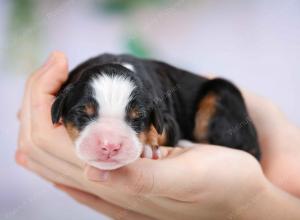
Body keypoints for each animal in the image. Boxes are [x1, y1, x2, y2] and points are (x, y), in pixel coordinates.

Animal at [51, 53, 260, 170]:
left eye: (138, 118)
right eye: (83, 113)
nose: (110, 146)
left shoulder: (168, 118)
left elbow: (163, 129)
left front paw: (148, 146)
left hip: (220, 95)